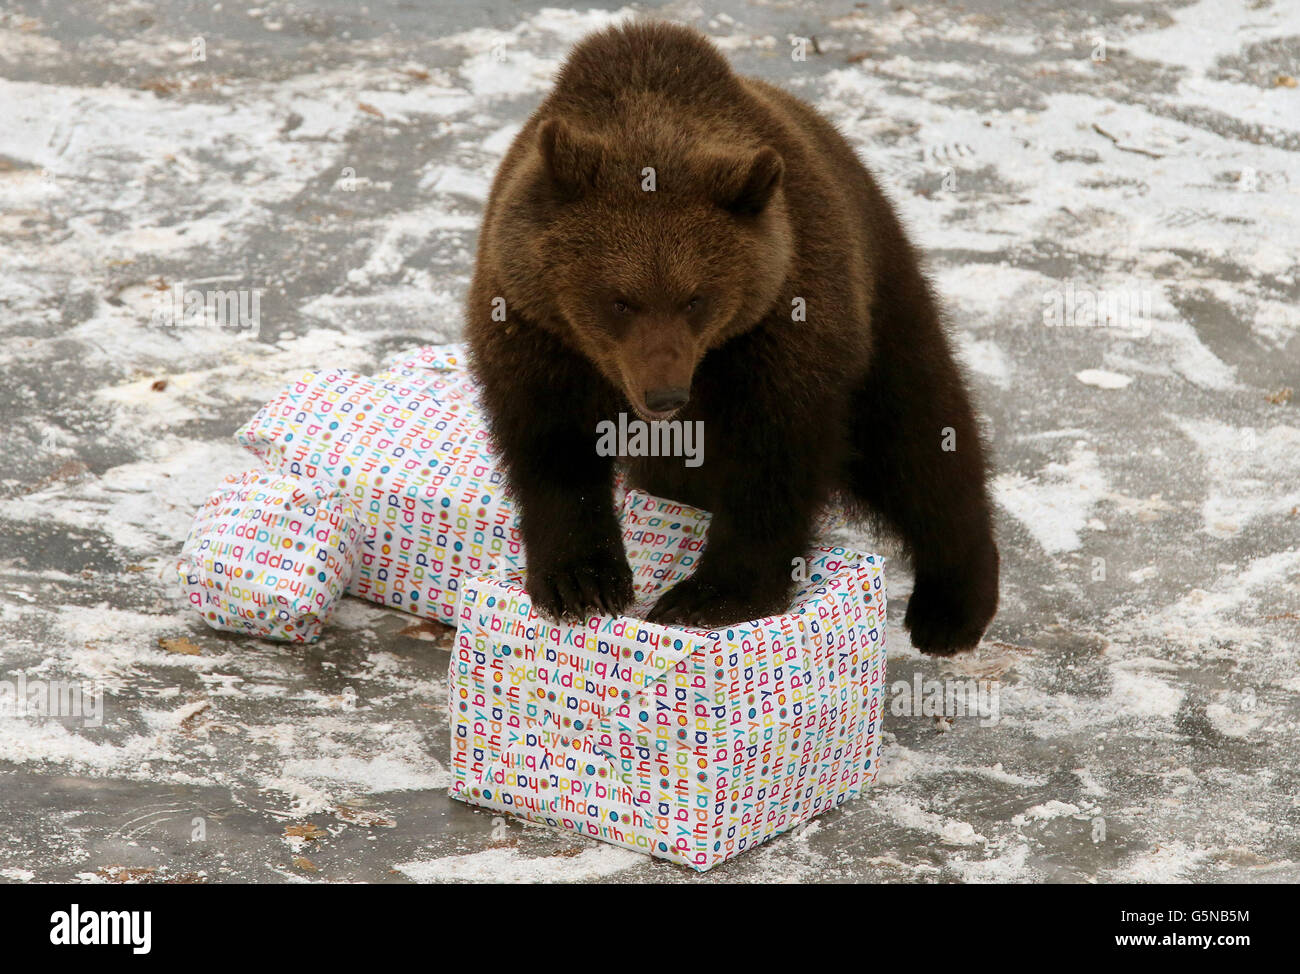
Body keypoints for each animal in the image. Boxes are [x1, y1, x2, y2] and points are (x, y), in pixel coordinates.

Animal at [465, 19, 993, 650]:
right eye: (619, 299)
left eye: (696, 298)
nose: (664, 395)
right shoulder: (535, 327)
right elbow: (551, 444)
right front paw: (581, 581)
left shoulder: (784, 320)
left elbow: (773, 460)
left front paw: (708, 595)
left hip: (882, 289)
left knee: (920, 434)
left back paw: (952, 606)